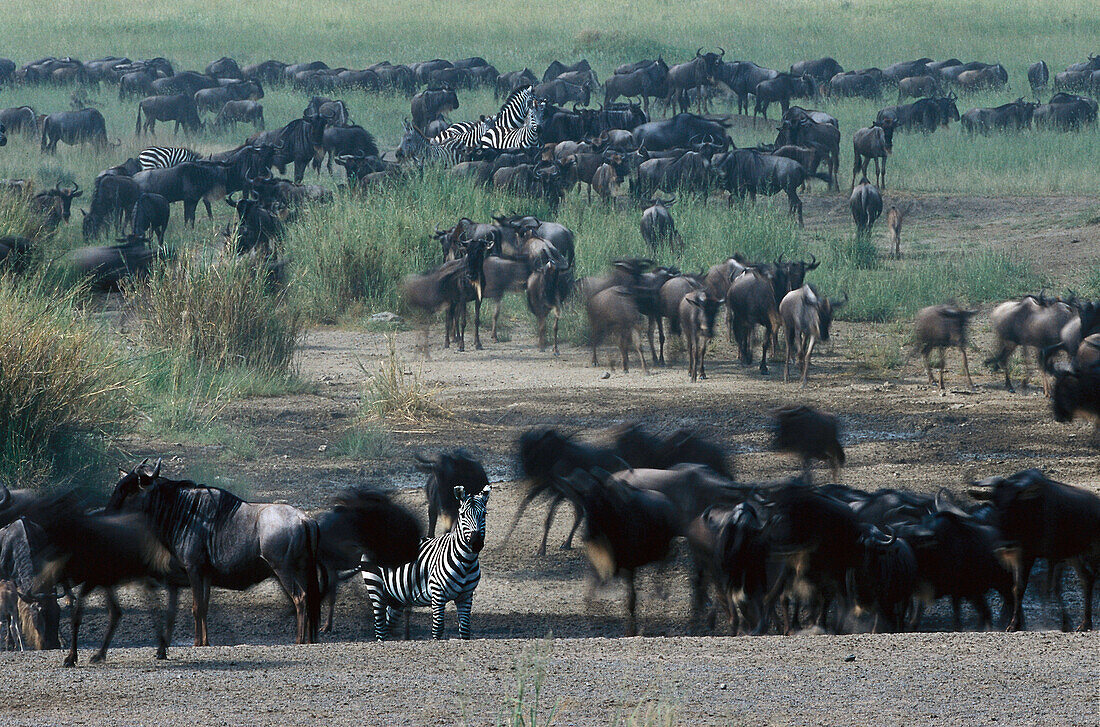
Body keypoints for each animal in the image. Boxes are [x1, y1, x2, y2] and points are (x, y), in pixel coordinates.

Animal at [360, 483, 490, 637]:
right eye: (463, 515)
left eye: (484, 514)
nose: (476, 543)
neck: (466, 562)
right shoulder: (437, 593)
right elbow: (438, 629)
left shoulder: (465, 596)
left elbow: (465, 630)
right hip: (375, 587)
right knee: (380, 628)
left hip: (396, 597)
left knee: (387, 624)